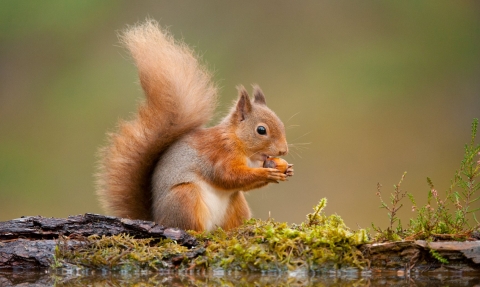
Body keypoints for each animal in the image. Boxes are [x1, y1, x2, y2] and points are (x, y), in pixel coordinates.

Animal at [95, 20, 292, 232]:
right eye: (261, 130)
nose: (283, 151)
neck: (239, 142)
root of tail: (158, 219)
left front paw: (286, 169)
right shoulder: (219, 154)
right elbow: (227, 176)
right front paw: (267, 173)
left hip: (236, 203)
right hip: (185, 197)